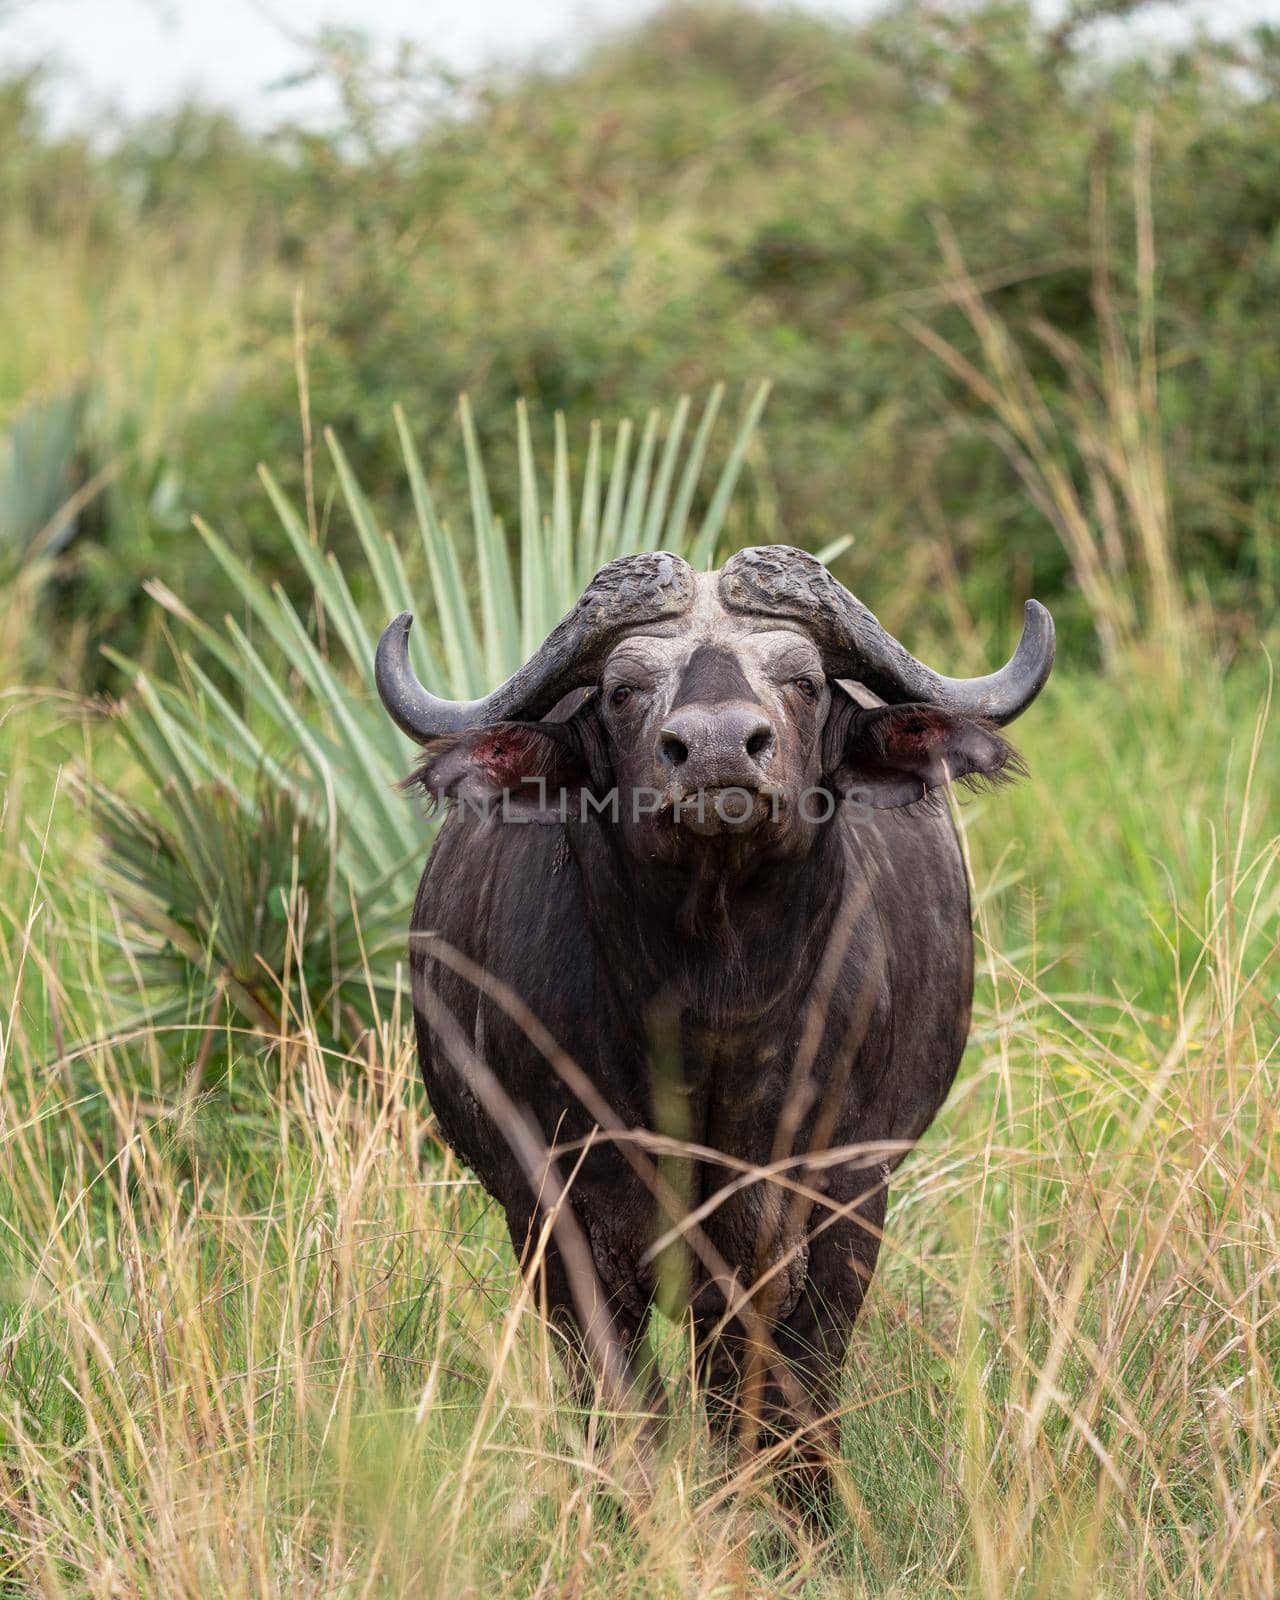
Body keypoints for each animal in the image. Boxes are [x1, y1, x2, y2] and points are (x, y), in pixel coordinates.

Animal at [374, 540, 1056, 1497]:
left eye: (803, 680)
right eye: (622, 689)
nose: (718, 750)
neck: (713, 1017)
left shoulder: (836, 1214)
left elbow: (787, 1403)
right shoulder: (556, 1226)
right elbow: (625, 1412)